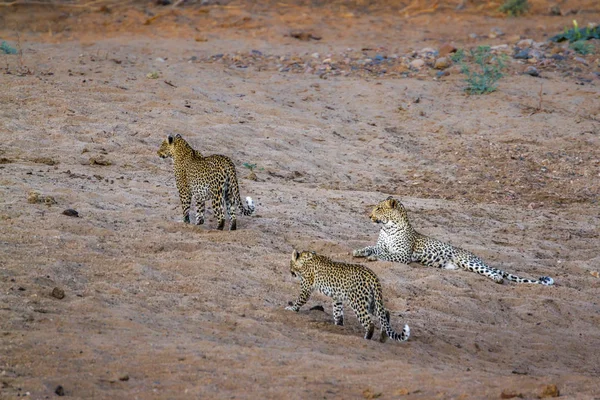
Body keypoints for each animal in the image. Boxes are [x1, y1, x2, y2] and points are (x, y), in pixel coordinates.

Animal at [354, 196, 556, 284]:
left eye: (379, 208)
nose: (369, 216)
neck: (387, 228)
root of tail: (475, 256)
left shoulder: (403, 255)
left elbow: (385, 254)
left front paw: (372, 256)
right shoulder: (382, 244)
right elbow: (373, 246)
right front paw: (360, 251)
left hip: (469, 261)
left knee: (489, 271)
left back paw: (497, 278)